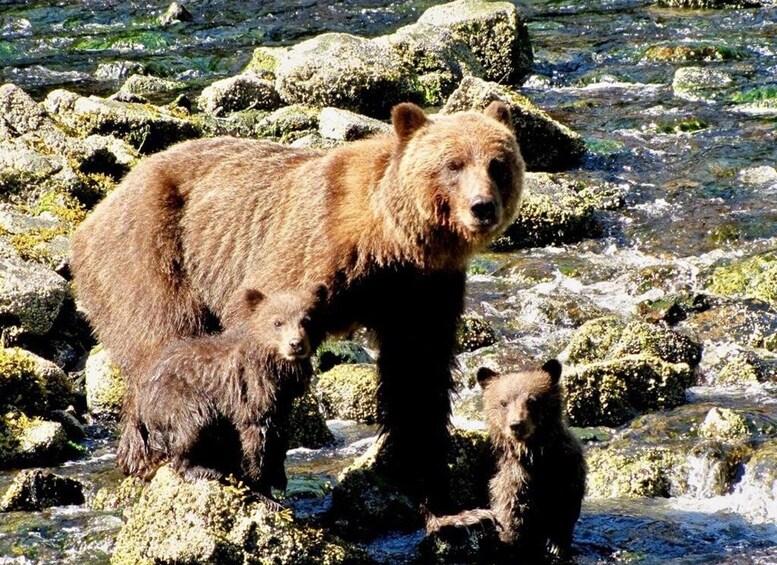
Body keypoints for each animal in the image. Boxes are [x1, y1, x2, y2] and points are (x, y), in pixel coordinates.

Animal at [124, 284, 326, 501]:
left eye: (307, 319)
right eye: (277, 322)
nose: (295, 344)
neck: (274, 367)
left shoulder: (282, 399)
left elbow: (277, 434)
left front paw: (278, 476)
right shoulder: (249, 390)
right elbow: (254, 436)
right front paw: (263, 490)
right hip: (176, 399)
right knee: (193, 423)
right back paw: (202, 470)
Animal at [427, 360, 586, 562]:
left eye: (532, 400)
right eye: (503, 403)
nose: (516, 425)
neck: (532, 454)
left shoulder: (564, 465)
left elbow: (565, 505)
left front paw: (556, 545)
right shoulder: (506, 474)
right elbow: (510, 510)